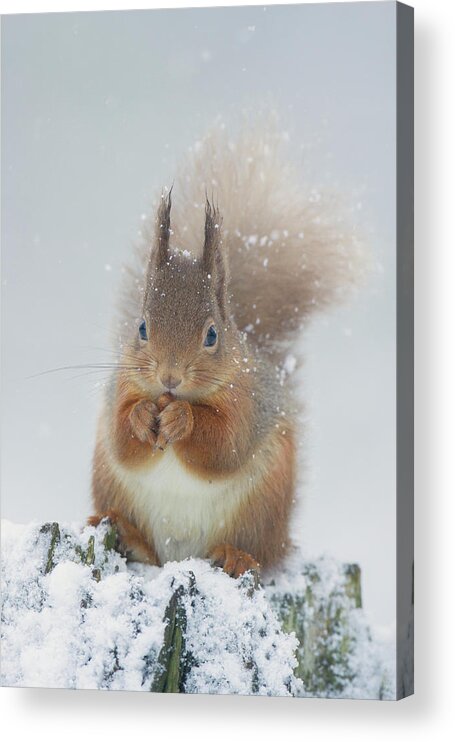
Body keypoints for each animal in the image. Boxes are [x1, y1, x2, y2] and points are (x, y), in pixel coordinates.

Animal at [88, 122, 364, 580]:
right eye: (142, 328)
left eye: (212, 336)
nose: (169, 377)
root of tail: (182, 555)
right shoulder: (119, 388)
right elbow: (121, 437)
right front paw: (142, 415)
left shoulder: (247, 401)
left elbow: (224, 445)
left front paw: (182, 419)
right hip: (110, 484)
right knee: (147, 547)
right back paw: (127, 534)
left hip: (263, 508)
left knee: (260, 550)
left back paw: (236, 556)